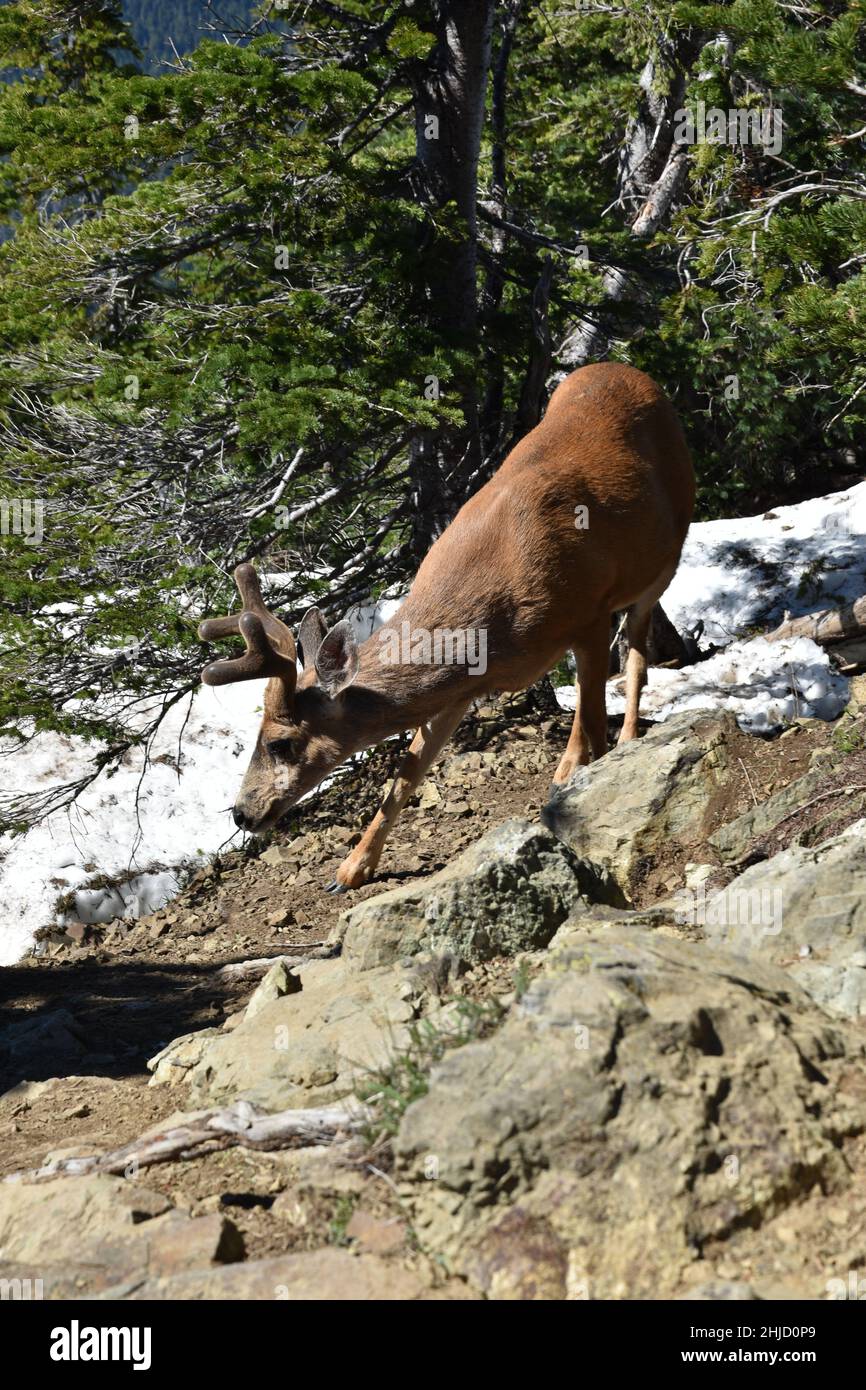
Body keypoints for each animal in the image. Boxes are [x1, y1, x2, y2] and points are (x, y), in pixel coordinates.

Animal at [198, 362, 695, 892]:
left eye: (280, 743)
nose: (242, 814)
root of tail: (629, 370)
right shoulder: (460, 687)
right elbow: (407, 772)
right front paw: (350, 870)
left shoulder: (590, 615)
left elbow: (593, 717)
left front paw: (590, 792)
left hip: (665, 559)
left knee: (637, 657)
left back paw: (616, 748)